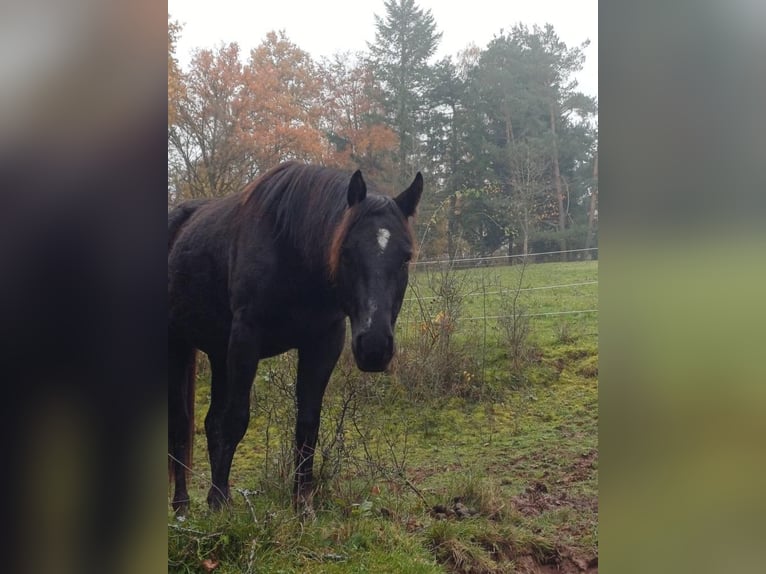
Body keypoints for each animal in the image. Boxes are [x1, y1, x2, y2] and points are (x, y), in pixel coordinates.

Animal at [168, 161, 423, 514]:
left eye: (405, 257)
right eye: (346, 252)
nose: (374, 347)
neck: (292, 250)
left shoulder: (323, 343)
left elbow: (307, 424)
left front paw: (302, 504)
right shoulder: (246, 339)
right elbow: (236, 419)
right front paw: (218, 500)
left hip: (219, 355)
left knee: (210, 422)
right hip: (178, 345)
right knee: (181, 423)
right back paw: (182, 505)